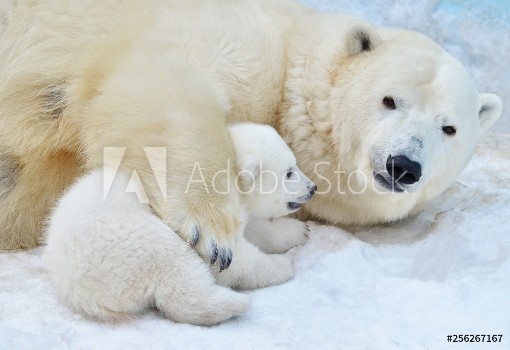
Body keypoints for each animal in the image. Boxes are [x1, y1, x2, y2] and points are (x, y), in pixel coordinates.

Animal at [0, 0, 502, 260]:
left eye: (449, 128)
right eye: (389, 99)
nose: (403, 165)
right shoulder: (243, 38)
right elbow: (166, 80)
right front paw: (213, 230)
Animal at [43, 123, 314, 326]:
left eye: (294, 165)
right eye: (289, 172)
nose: (313, 187)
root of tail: (78, 293)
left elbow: (255, 229)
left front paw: (299, 231)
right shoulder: (206, 218)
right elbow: (234, 259)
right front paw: (283, 265)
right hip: (124, 242)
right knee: (176, 272)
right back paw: (233, 303)